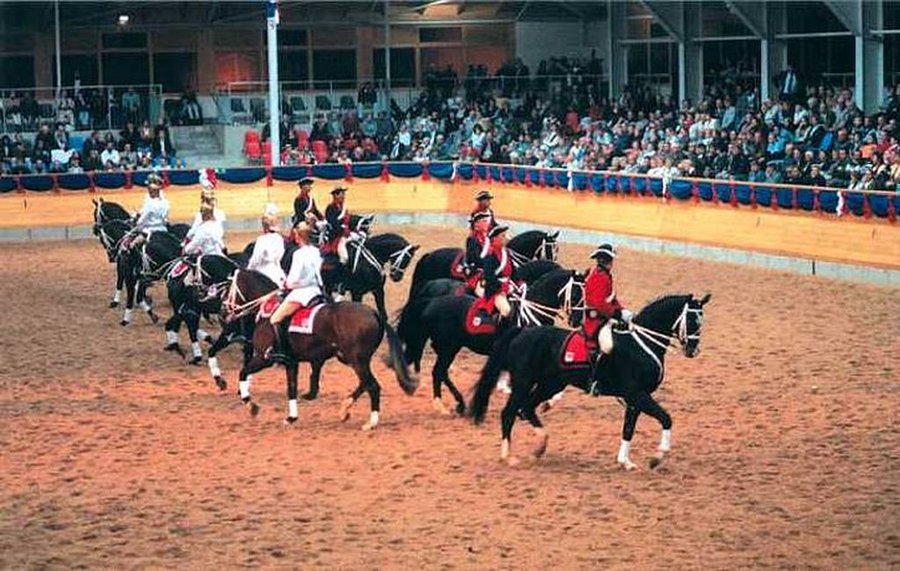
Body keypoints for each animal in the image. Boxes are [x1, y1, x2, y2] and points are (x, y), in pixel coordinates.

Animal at [220, 272, 416, 428]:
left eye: (228, 291)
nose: (223, 313)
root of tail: (375, 313)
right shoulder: (291, 363)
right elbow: (291, 389)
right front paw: (291, 417)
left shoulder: (264, 358)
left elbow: (242, 373)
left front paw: (251, 406)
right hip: (353, 359)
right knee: (365, 383)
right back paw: (345, 409)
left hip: (356, 360)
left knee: (373, 386)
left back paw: (371, 422)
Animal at [396, 268, 584, 416]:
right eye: (576, 294)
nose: (577, 320)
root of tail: (432, 301)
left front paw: (547, 402)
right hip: (449, 347)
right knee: (438, 372)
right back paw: (442, 406)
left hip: (447, 347)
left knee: (442, 372)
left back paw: (459, 404)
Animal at [472, 294, 712, 470]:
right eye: (693, 320)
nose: (693, 350)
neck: (642, 343)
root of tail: (522, 332)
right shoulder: (637, 394)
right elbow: (666, 419)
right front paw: (657, 457)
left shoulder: (634, 399)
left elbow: (628, 429)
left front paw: (625, 462)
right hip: (523, 382)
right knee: (509, 412)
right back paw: (509, 456)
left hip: (550, 384)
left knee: (527, 408)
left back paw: (540, 446)